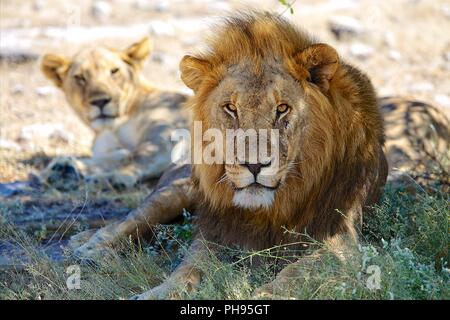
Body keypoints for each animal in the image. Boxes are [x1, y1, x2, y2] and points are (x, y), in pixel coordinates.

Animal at [39, 37, 189, 189]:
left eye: (114, 71)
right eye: (80, 77)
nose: (100, 101)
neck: (113, 127)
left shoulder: (165, 130)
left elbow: (139, 155)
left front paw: (117, 176)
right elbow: (116, 156)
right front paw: (64, 167)